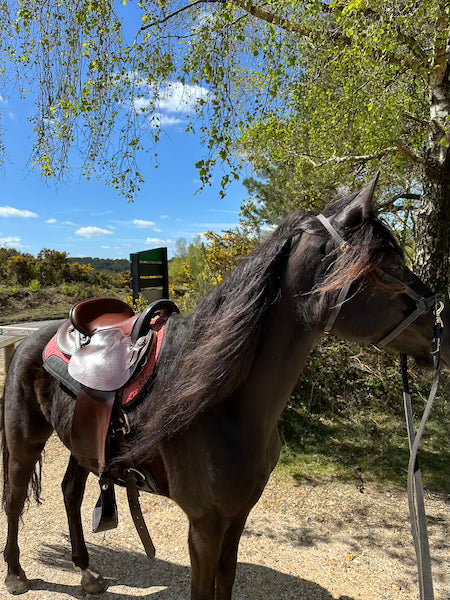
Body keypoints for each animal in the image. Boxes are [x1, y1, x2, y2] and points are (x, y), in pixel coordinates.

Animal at [2, 180, 450, 596]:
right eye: (388, 263)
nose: (442, 334)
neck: (226, 408)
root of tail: (28, 340)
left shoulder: (236, 519)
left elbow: (226, 582)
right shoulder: (205, 526)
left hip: (82, 444)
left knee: (70, 493)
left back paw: (86, 571)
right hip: (26, 442)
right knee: (15, 497)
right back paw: (17, 574)